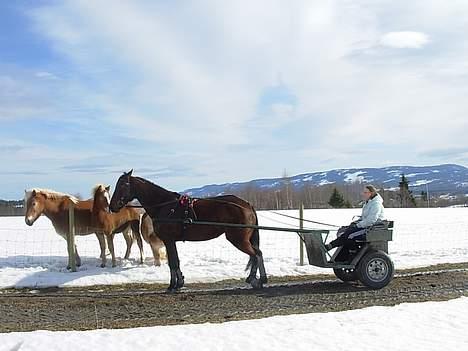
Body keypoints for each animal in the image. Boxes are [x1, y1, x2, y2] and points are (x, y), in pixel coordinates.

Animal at [107, 170, 266, 292]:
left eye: (123, 184)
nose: (112, 206)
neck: (165, 206)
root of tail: (247, 205)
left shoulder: (169, 240)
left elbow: (173, 262)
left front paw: (173, 285)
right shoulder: (170, 241)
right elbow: (175, 261)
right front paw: (179, 282)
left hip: (238, 239)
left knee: (256, 254)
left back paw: (254, 279)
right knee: (257, 253)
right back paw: (261, 279)